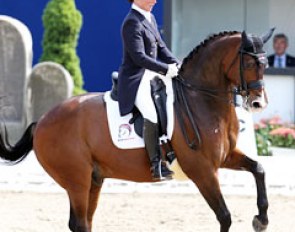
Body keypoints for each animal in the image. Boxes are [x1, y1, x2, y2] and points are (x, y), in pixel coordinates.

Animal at [0, 29, 276, 232]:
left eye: (265, 64)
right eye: (249, 63)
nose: (258, 103)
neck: (201, 99)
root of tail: (41, 121)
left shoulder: (225, 157)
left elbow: (259, 169)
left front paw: (261, 219)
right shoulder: (202, 170)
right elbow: (225, 216)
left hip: (94, 179)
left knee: (84, 221)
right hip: (77, 180)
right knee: (79, 223)